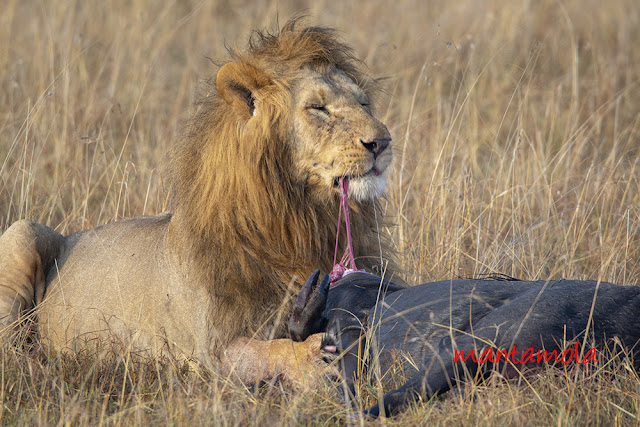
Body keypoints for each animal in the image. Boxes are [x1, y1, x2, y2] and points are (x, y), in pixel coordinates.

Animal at [0, 18, 396, 382]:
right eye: (318, 108)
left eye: (363, 102)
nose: (382, 142)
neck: (300, 220)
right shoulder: (211, 351)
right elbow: (273, 348)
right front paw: (315, 355)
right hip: (22, 232)